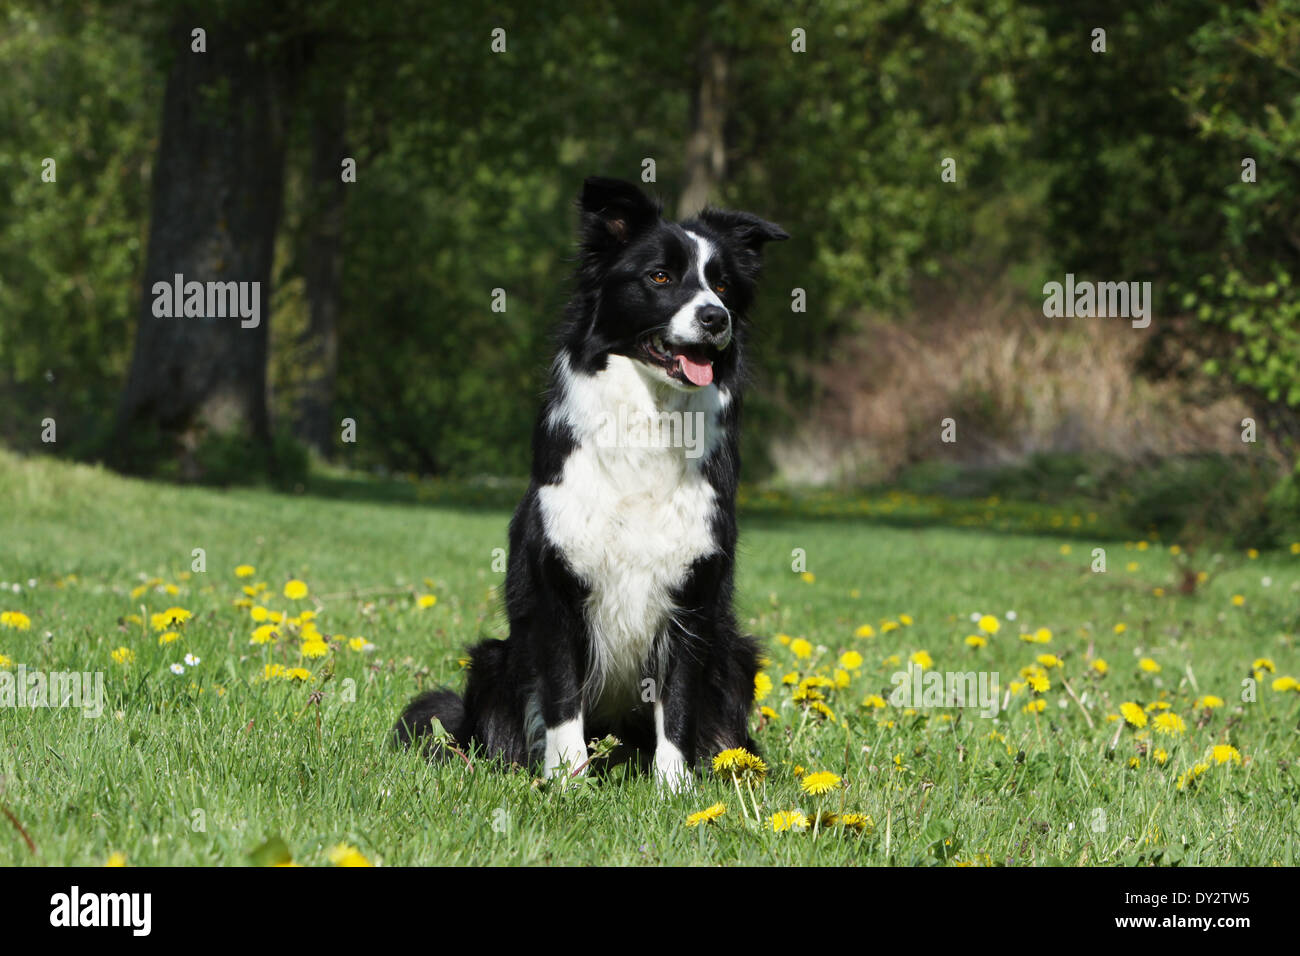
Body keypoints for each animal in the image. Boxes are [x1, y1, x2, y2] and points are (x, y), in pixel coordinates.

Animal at [390, 175, 785, 790]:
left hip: (737, 654)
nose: (715, 318)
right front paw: (566, 783)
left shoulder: (692, 597)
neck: (649, 421)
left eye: (722, 285)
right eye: (660, 277)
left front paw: (674, 790)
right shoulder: (558, 589)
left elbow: (678, 702)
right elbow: (561, 699)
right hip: (493, 659)